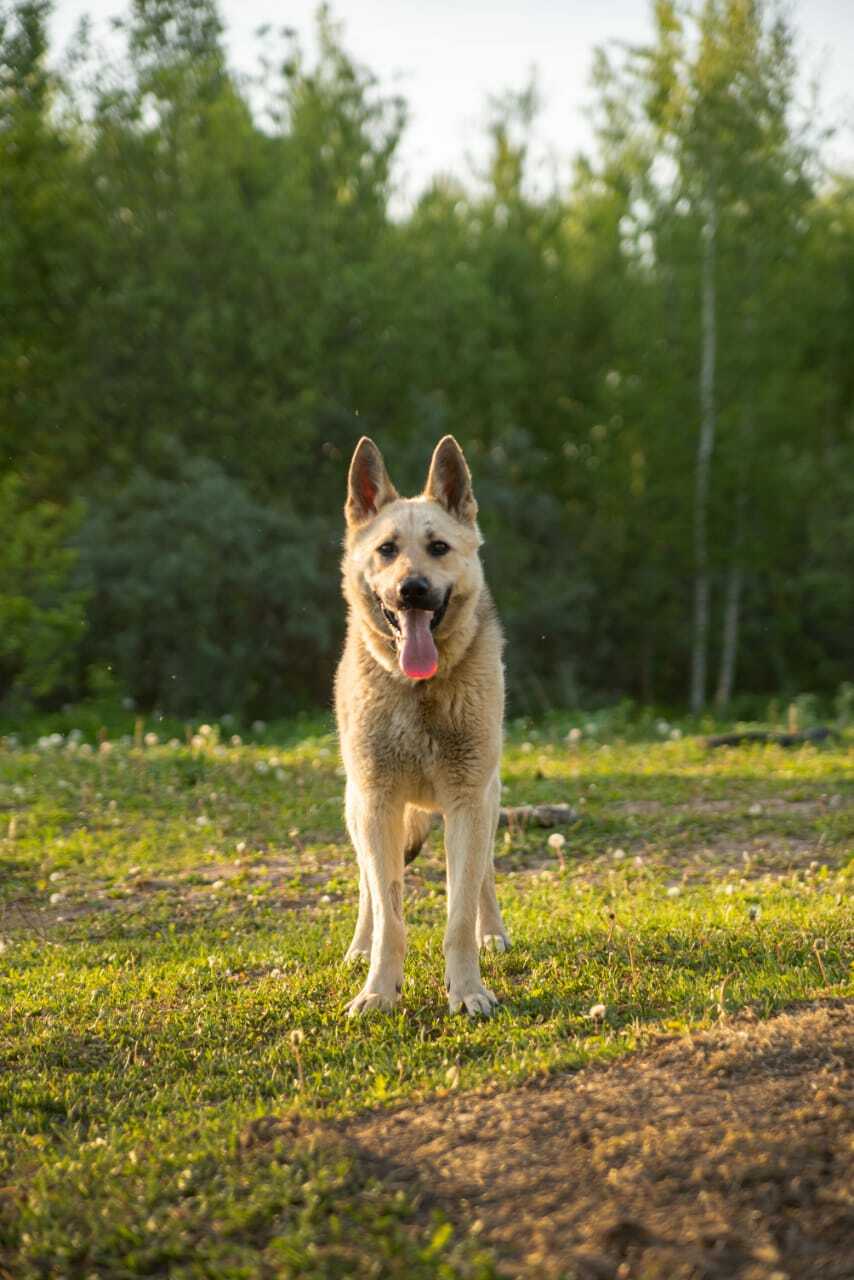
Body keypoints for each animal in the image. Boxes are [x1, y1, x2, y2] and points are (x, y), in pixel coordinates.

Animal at [332, 435, 507, 1013]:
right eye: (387, 549)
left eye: (438, 547)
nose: (412, 589)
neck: (419, 691)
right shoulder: (378, 805)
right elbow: (390, 916)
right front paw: (379, 990)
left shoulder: (468, 803)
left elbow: (459, 912)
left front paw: (468, 989)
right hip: (358, 811)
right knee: (368, 891)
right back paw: (358, 949)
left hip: (487, 803)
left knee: (484, 878)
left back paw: (492, 932)